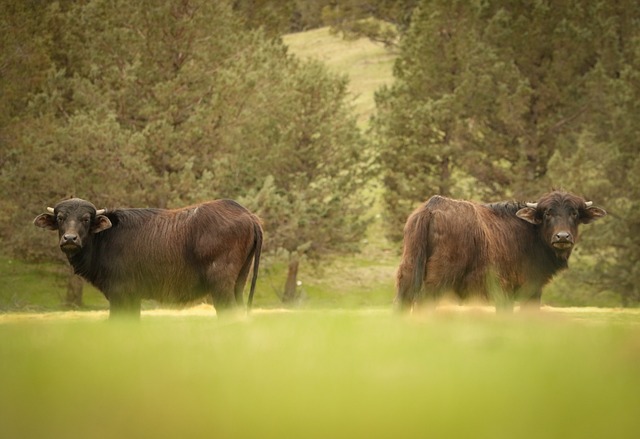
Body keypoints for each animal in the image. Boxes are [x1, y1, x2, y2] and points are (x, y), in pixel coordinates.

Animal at [31, 198, 262, 318]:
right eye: (61, 218)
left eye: (86, 219)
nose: (70, 238)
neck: (104, 239)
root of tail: (248, 216)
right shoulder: (133, 296)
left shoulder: (119, 293)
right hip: (239, 283)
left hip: (220, 285)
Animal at [398, 191, 608, 312]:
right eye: (548, 212)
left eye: (574, 213)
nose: (562, 236)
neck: (530, 235)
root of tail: (432, 207)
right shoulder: (524, 291)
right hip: (438, 280)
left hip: (407, 273)